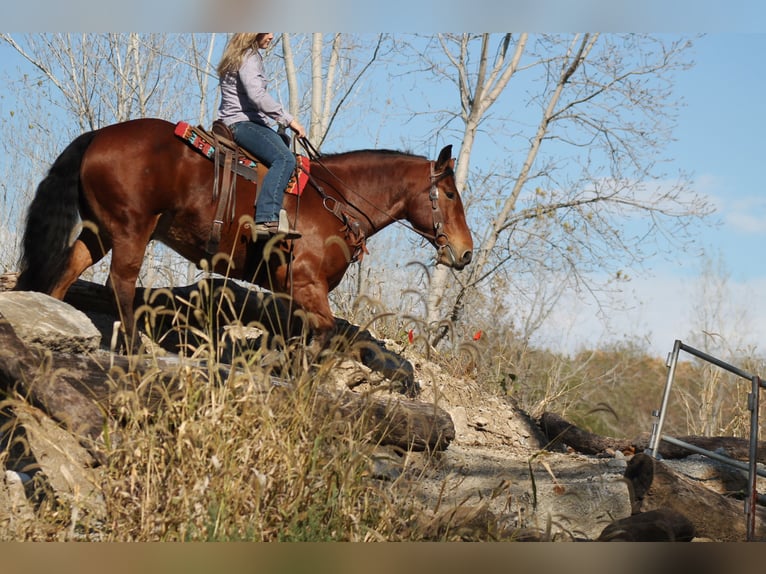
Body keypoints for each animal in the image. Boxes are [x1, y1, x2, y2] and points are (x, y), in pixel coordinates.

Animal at [15, 118, 474, 393]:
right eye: (450, 194)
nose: (466, 253)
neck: (336, 201)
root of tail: (98, 135)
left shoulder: (293, 292)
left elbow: (301, 334)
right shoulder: (307, 282)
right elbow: (322, 332)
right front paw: (291, 370)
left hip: (100, 232)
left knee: (67, 271)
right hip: (131, 230)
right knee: (122, 283)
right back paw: (131, 347)